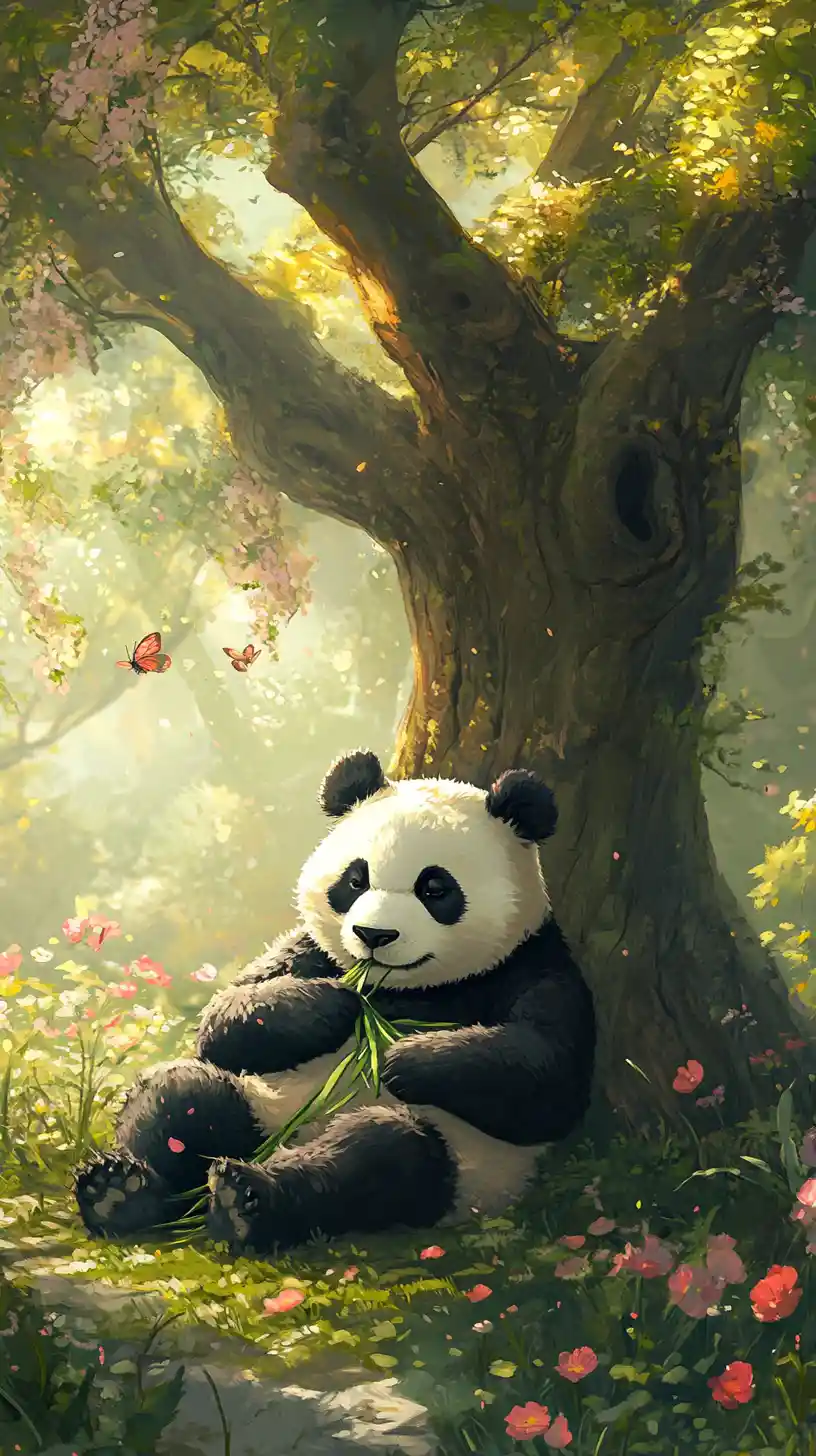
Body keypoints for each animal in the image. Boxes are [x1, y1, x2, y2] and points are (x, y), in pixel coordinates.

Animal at [75, 750, 596, 1256]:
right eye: (355, 880)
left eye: (434, 888)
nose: (373, 935)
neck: (403, 987)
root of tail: (289, 1137)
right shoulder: (310, 950)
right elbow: (227, 1014)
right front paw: (339, 1003)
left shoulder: (533, 963)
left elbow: (546, 1079)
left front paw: (402, 1056)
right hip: (262, 1098)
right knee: (183, 1092)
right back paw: (119, 1193)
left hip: (465, 1165)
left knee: (381, 1156)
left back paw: (248, 1201)